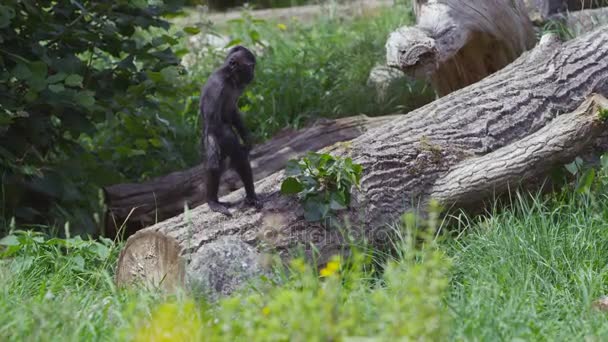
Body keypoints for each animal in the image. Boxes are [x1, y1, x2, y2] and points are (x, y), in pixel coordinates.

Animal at [201, 44, 262, 215]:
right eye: (251, 66)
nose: (253, 73)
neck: (229, 77)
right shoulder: (218, 86)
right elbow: (214, 122)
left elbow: (233, 112)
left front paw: (247, 139)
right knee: (220, 161)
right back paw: (213, 201)